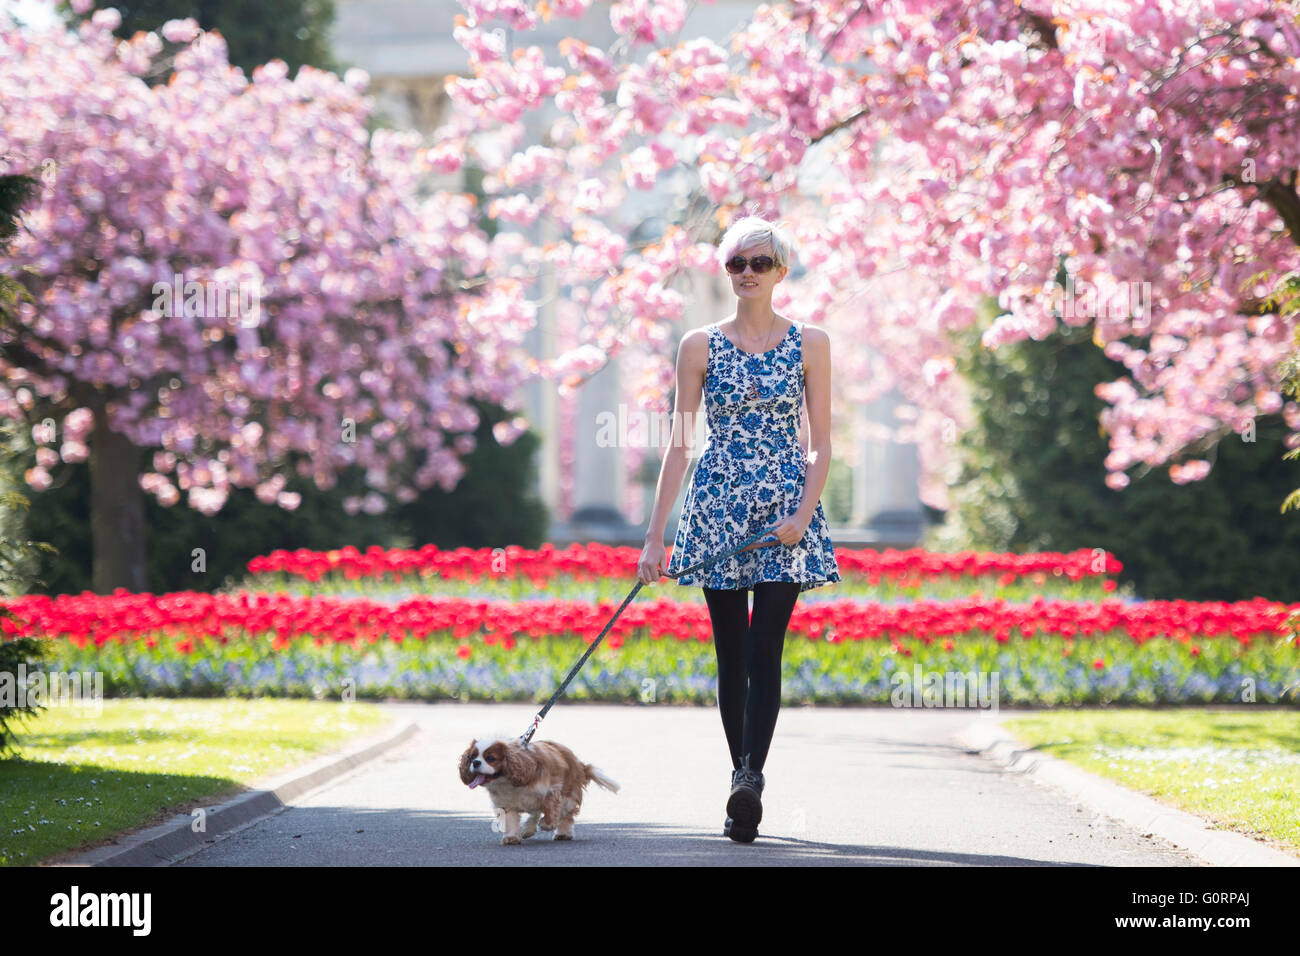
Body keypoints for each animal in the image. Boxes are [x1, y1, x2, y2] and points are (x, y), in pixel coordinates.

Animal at [457, 738, 618, 842]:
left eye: (490, 758)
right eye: (472, 757)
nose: (475, 762)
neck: (507, 782)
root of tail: (579, 764)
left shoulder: (551, 791)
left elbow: (551, 811)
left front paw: (547, 824)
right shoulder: (506, 804)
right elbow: (511, 819)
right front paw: (512, 837)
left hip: (568, 796)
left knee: (565, 816)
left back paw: (563, 833)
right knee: (535, 813)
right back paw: (528, 829)